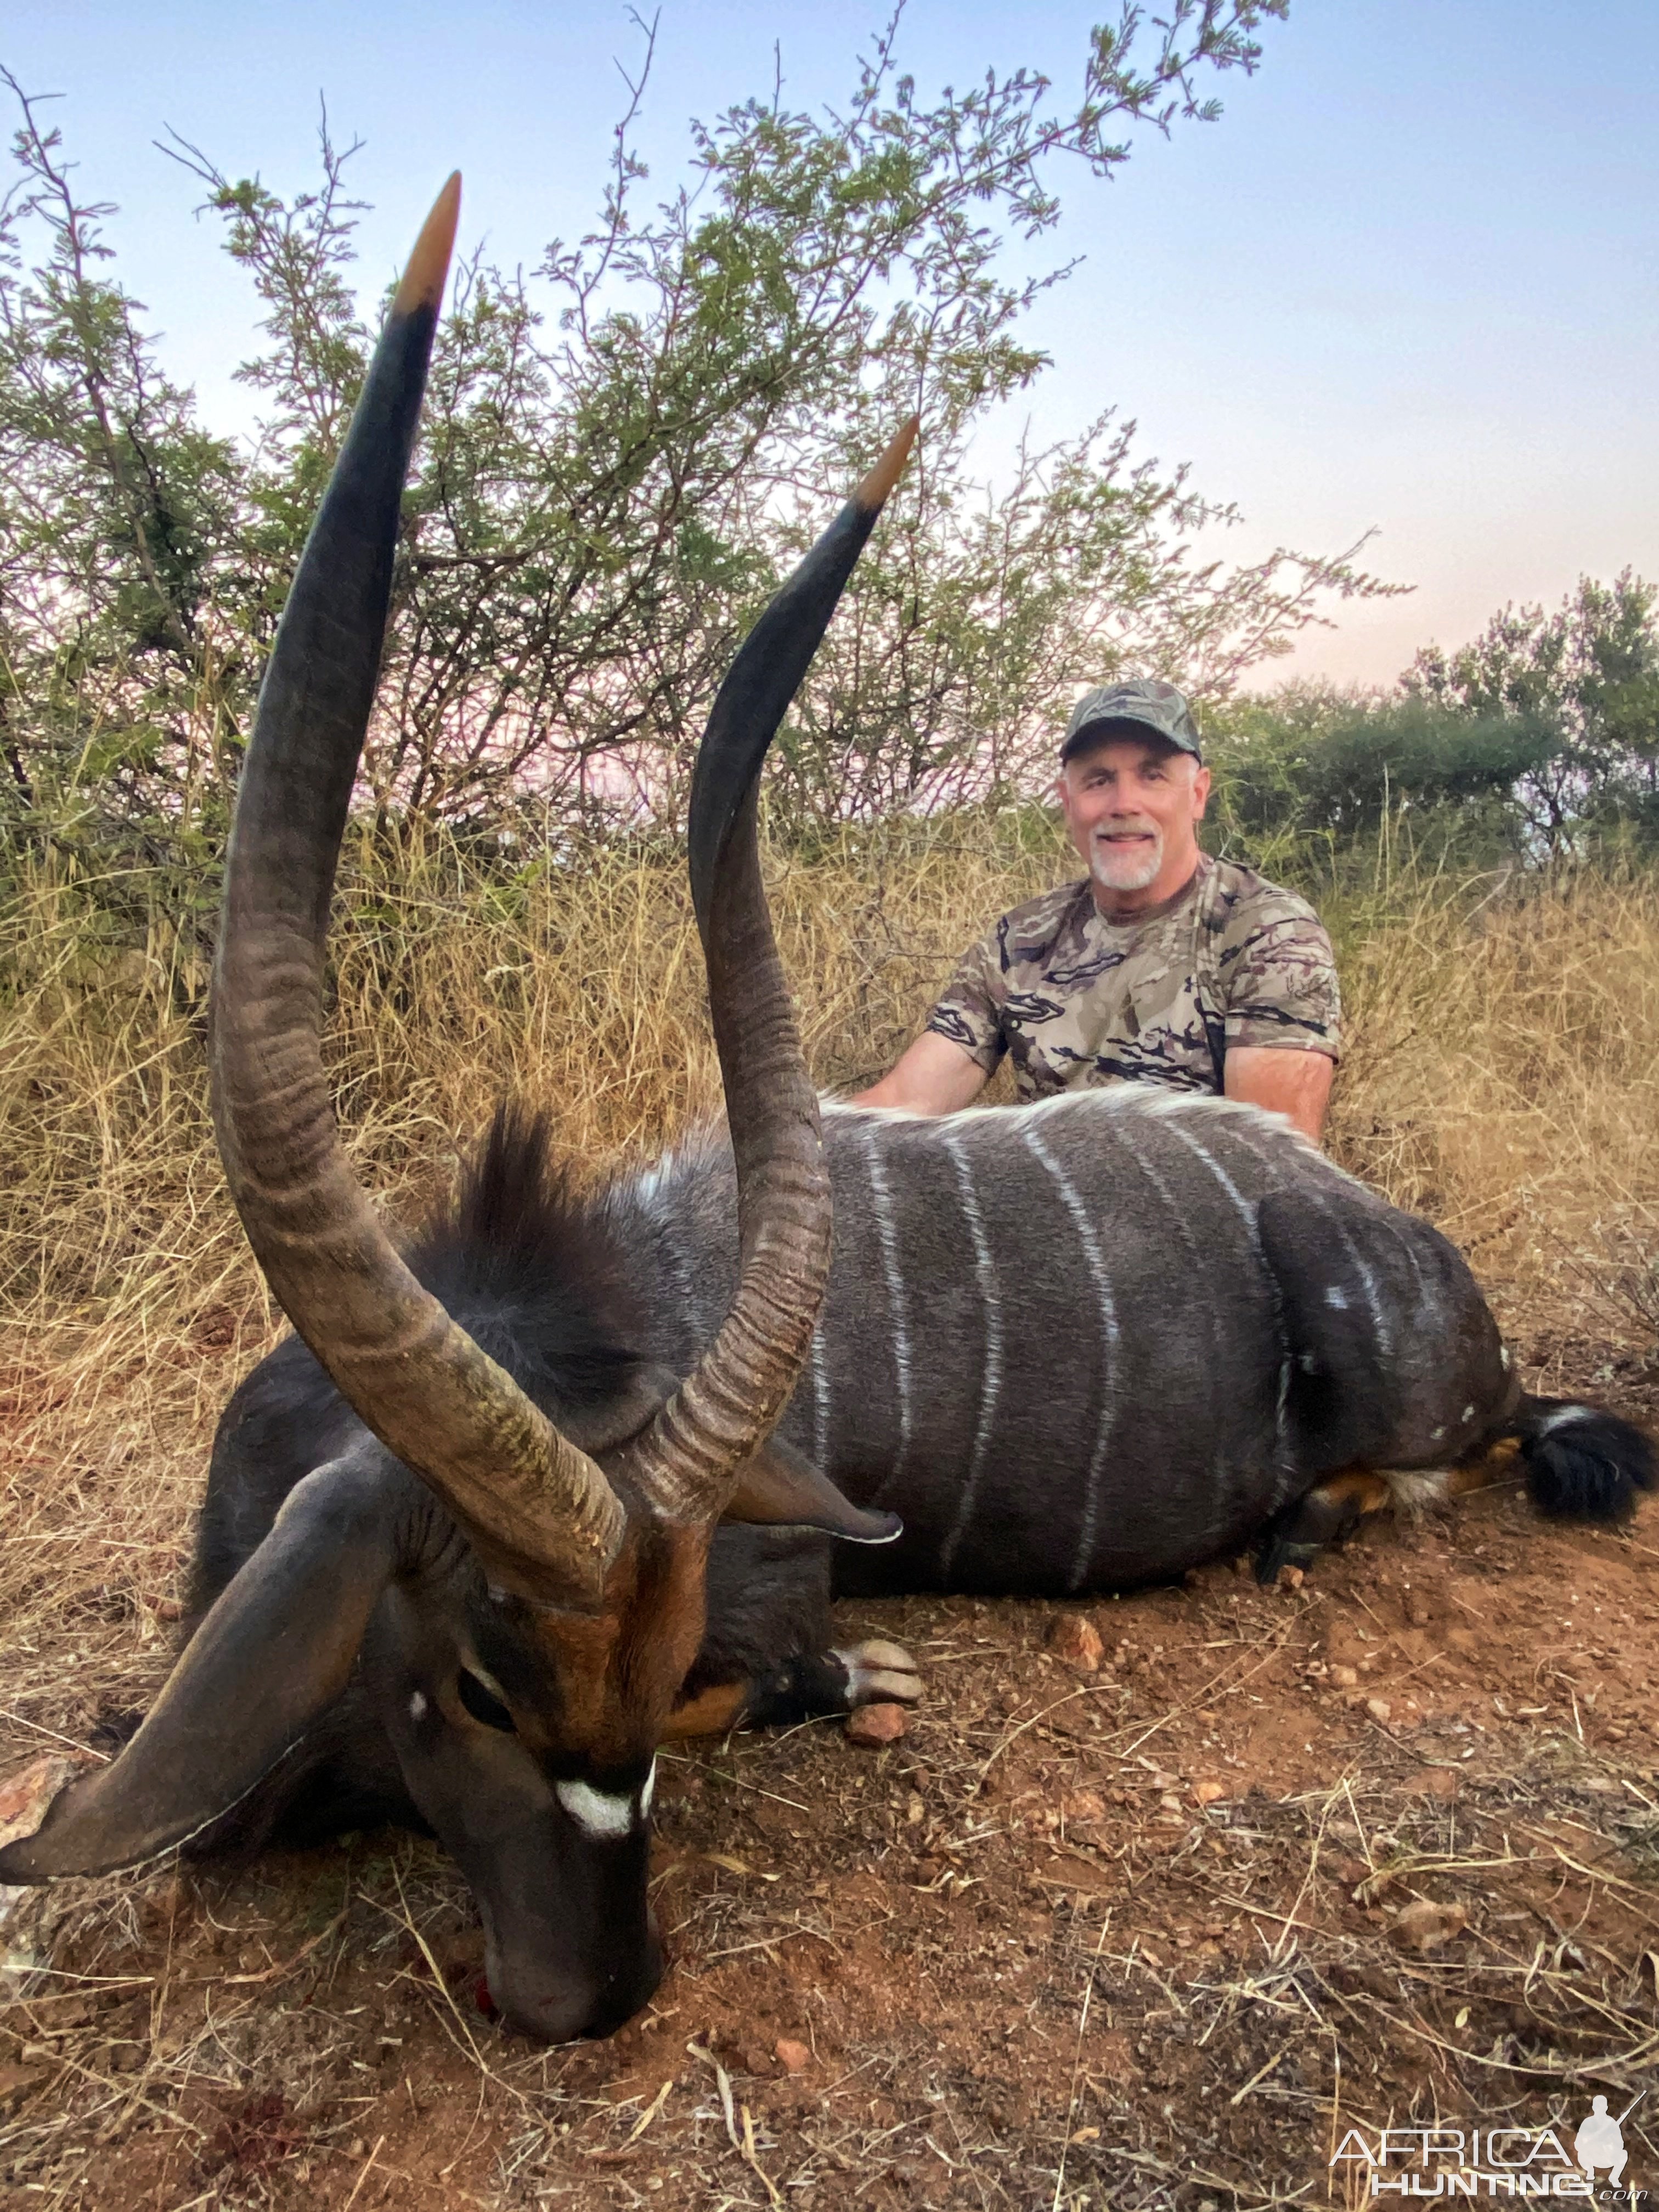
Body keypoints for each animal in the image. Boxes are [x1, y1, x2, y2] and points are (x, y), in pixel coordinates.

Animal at [6, 177, 1654, 2035]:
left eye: (632, 1680)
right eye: (484, 1688)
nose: (596, 1994)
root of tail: (1427, 1267)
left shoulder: (773, 1586)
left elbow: (790, 1673)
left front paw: (861, 1676)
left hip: (1416, 1403)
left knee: (1449, 1466)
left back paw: (1305, 1527)